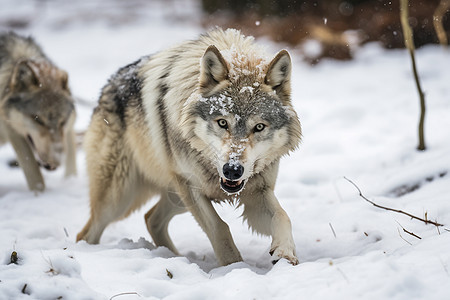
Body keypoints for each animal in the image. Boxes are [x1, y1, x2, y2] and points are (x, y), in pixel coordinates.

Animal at [0, 31, 76, 191]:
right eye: (38, 119)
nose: (55, 164)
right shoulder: (13, 132)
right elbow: (33, 172)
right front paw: (40, 194)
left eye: (62, 122)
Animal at [77, 28, 302, 264]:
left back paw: (173, 257)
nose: (232, 170)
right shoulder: (191, 186)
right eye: (223, 123)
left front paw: (285, 252)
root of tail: (107, 87)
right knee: (87, 232)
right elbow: (220, 229)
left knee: (151, 218)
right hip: (120, 199)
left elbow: (283, 216)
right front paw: (234, 266)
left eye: (259, 127)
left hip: (175, 199)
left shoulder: (257, 191)